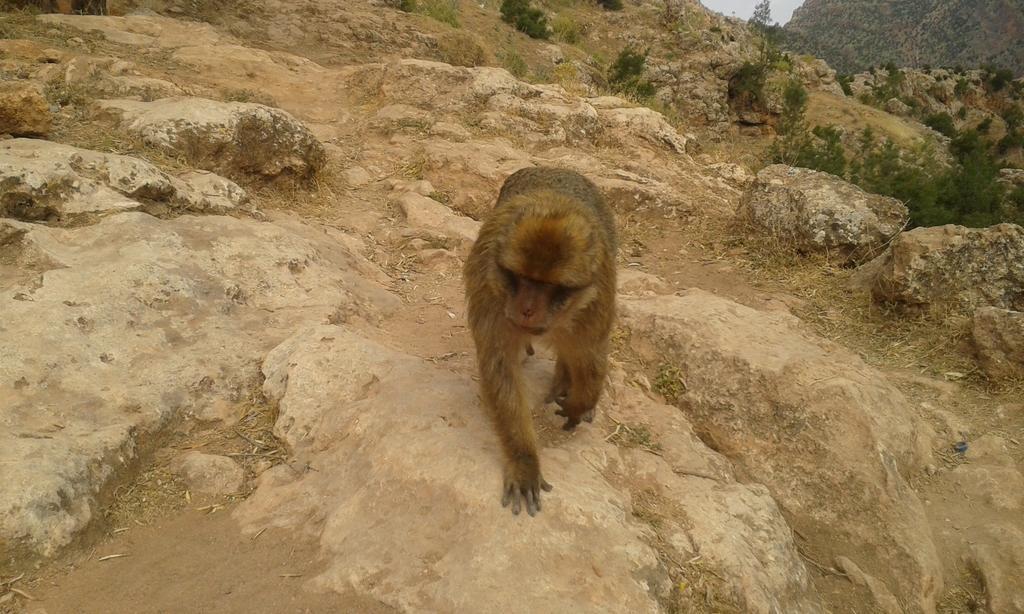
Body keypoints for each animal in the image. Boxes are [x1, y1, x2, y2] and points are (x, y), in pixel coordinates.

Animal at [462, 165, 614, 515]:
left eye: (547, 286)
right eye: (523, 279)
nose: (527, 309)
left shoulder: (597, 292)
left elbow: (591, 352)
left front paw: (581, 402)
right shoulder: (489, 288)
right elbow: (500, 369)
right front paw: (524, 461)